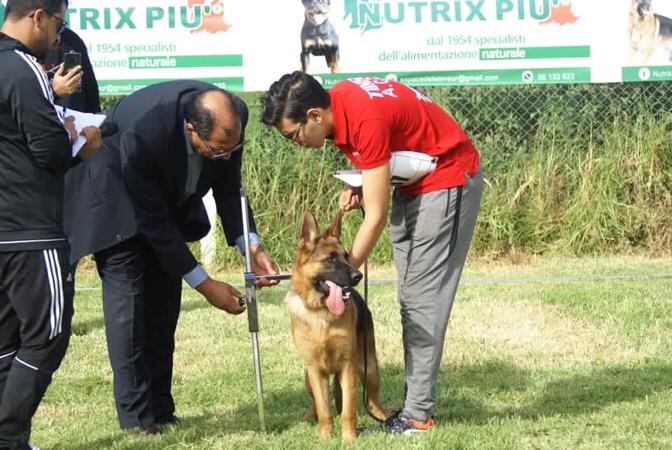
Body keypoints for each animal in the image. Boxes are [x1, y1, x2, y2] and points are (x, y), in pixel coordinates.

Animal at [284, 210, 388, 440]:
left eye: (346, 257)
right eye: (330, 259)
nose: (358, 276)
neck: (321, 314)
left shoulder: (348, 366)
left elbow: (349, 410)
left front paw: (349, 439)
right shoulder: (316, 371)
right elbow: (324, 409)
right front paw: (326, 438)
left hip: (369, 370)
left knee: (373, 402)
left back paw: (385, 419)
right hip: (308, 377)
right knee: (315, 405)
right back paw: (309, 418)